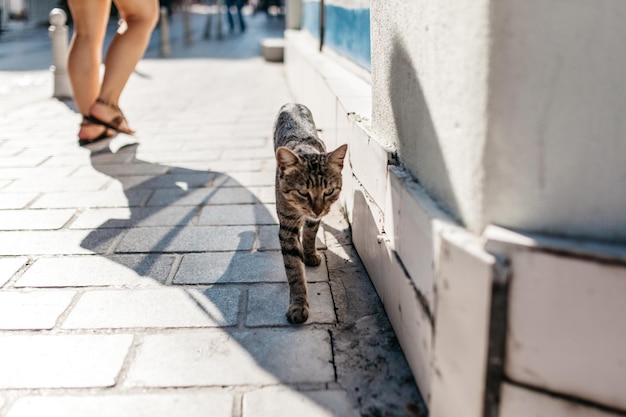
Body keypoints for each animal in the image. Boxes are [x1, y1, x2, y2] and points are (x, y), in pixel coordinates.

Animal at [272, 102, 346, 324]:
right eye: (303, 193)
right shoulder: (287, 227)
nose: (318, 209)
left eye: (329, 191)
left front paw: (310, 253)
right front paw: (298, 305)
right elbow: (294, 270)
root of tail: (292, 103)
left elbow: (311, 234)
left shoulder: (315, 219)